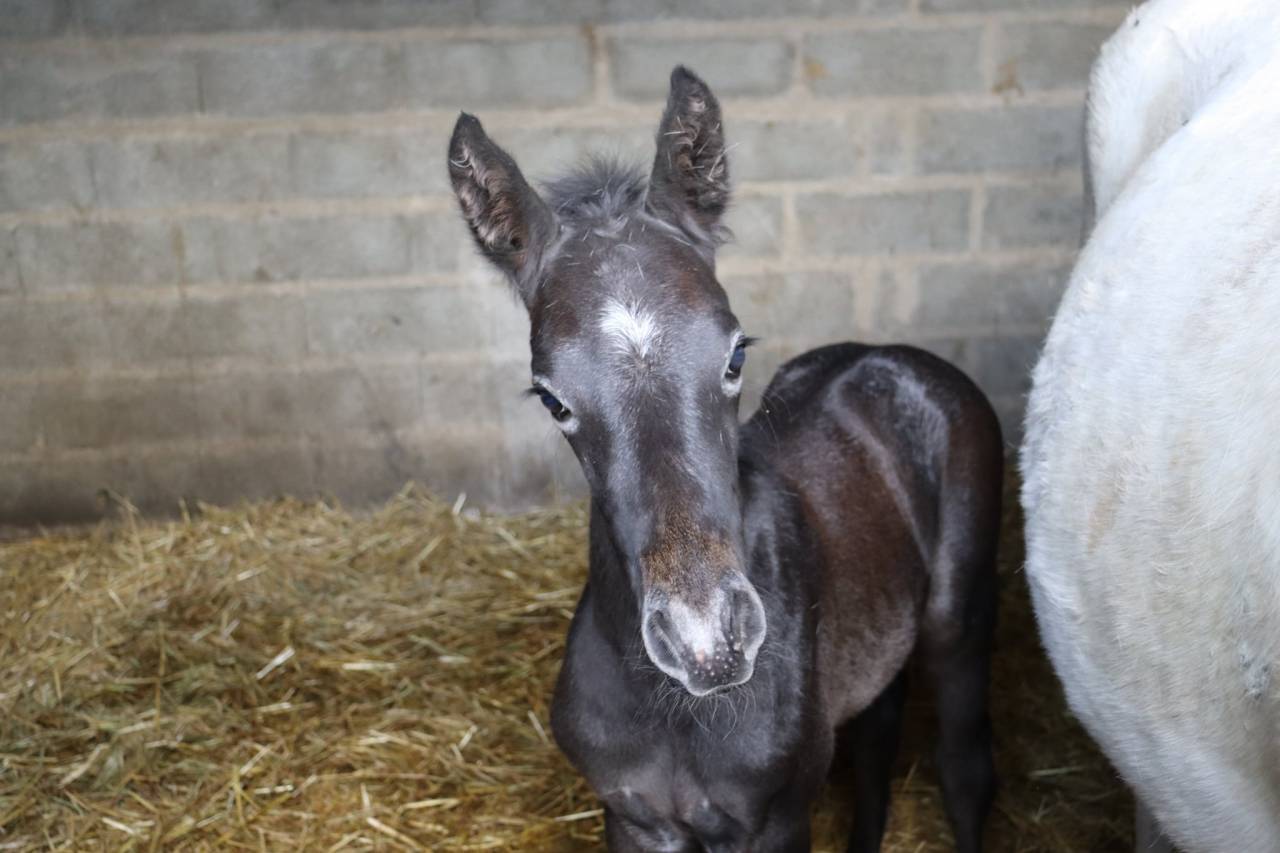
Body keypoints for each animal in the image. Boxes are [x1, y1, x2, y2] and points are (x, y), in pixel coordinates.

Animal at [448, 66, 1004, 852]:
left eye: (735, 354)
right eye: (553, 400)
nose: (707, 642)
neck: (678, 709)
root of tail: (887, 355)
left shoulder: (774, 822)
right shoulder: (633, 817)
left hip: (961, 623)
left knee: (963, 766)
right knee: (877, 740)